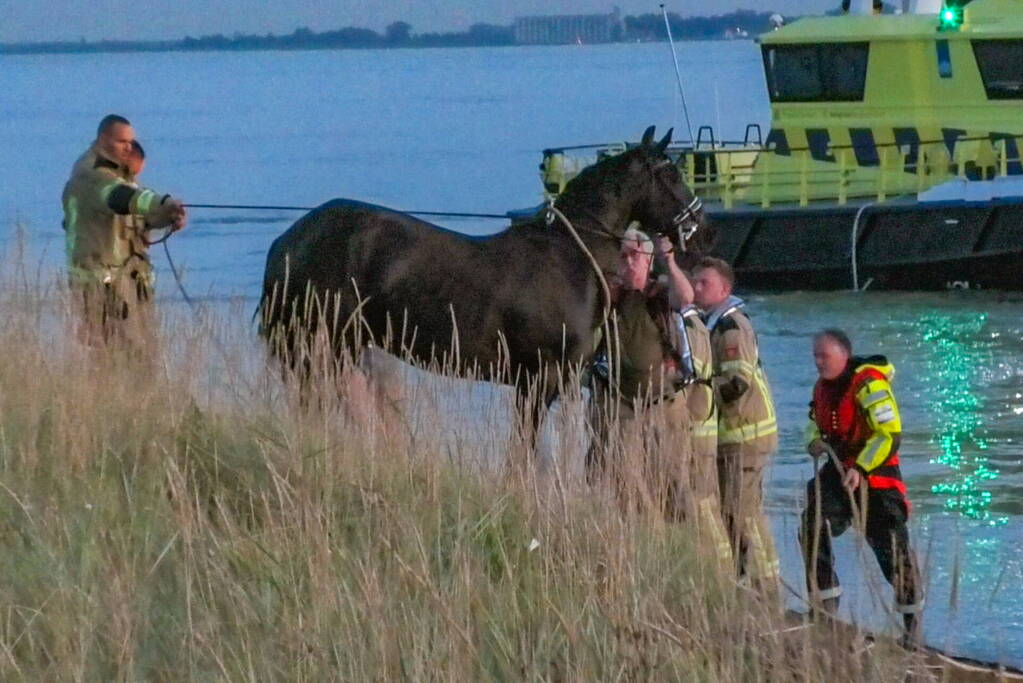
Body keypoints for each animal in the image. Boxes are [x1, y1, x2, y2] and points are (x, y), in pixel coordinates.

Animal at [257, 124, 712, 447]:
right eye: (672, 173)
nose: (698, 223)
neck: (569, 256)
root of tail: (291, 239)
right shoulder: (539, 378)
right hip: (324, 343)